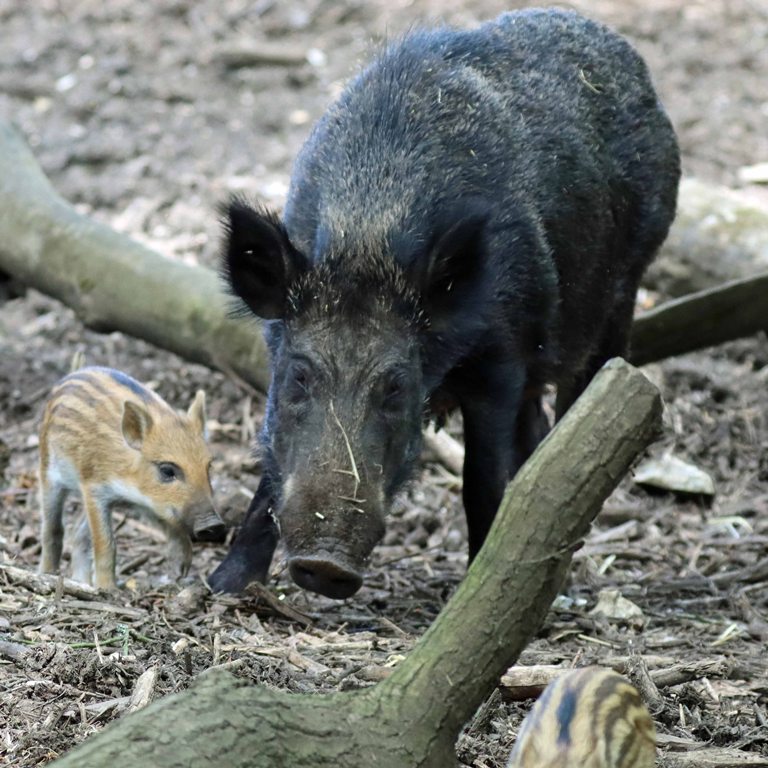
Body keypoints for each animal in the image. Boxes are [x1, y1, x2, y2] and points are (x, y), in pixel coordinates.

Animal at [39, 366, 223, 589]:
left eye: (208, 467)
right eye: (167, 471)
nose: (214, 525)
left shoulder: (146, 503)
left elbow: (172, 523)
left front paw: (181, 569)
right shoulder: (93, 489)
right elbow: (106, 543)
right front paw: (107, 589)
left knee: (78, 534)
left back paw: (81, 582)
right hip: (48, 472)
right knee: (53, 529)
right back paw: (48, 574)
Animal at [208, 8, 680, 599]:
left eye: (396, 386)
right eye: (299, 377)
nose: (324, 565)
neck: (367, 235)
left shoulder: (500, 362)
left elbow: (481, 481)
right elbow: (268, 470)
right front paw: (221, 586)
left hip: (624, 291)